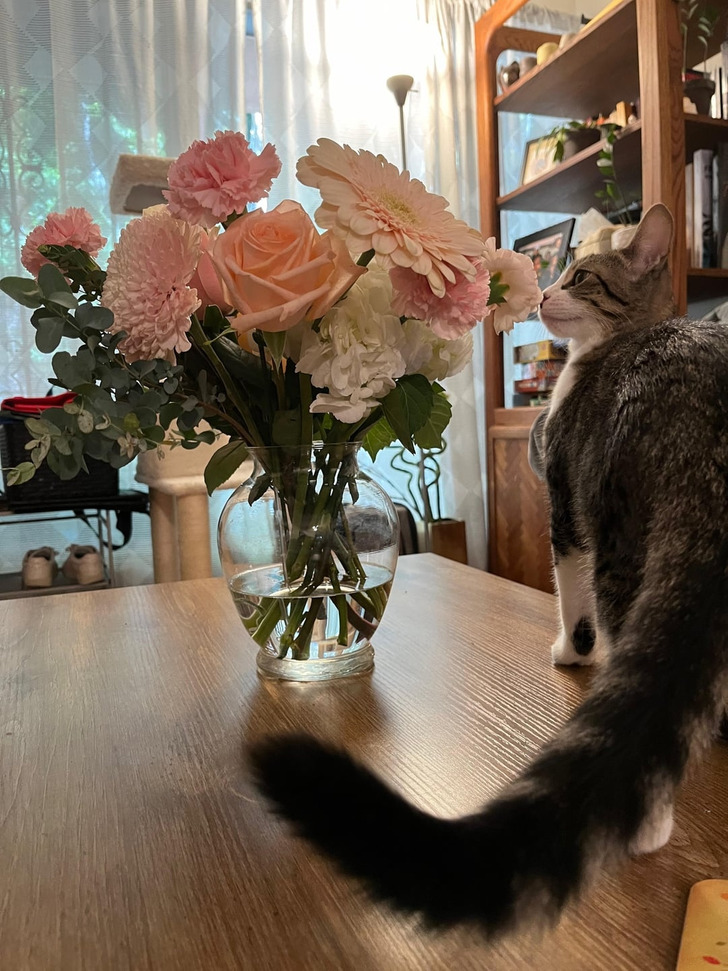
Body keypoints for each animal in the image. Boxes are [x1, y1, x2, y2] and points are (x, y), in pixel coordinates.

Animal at [249, 203, 728, 938]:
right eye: (560, 271)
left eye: (580, 276)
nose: (543, 293)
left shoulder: (565, 499)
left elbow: (570, 589)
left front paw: (571, 651)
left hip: (620, 532)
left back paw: (645, 816)